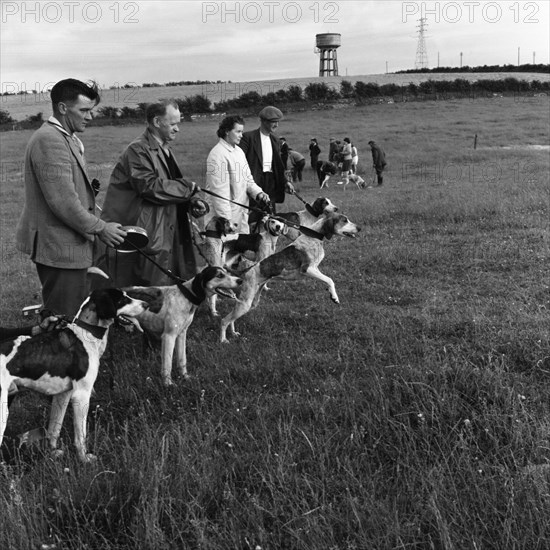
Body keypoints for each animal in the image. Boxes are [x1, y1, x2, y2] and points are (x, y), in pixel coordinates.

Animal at [0, 288, 149, 466]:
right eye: (122, 300)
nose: (147, 304)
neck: (87, 333)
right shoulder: (81, 395)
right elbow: (80, 436)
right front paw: (84, 459)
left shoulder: (63, 395)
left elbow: (54, 429)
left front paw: (52, 453)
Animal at [220, 212, 362, 344]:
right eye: (344, 220)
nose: (359, 228)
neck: (313, 237)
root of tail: (246, 271)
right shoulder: (307, 269)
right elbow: (330, 280)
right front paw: (334, 297)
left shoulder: (315, 269)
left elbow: (328, 280)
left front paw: (332, 294)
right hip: (246, 302)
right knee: (224, 320)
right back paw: (223, 340)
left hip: (250, 302)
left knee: (231, 318)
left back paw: (233, 333)